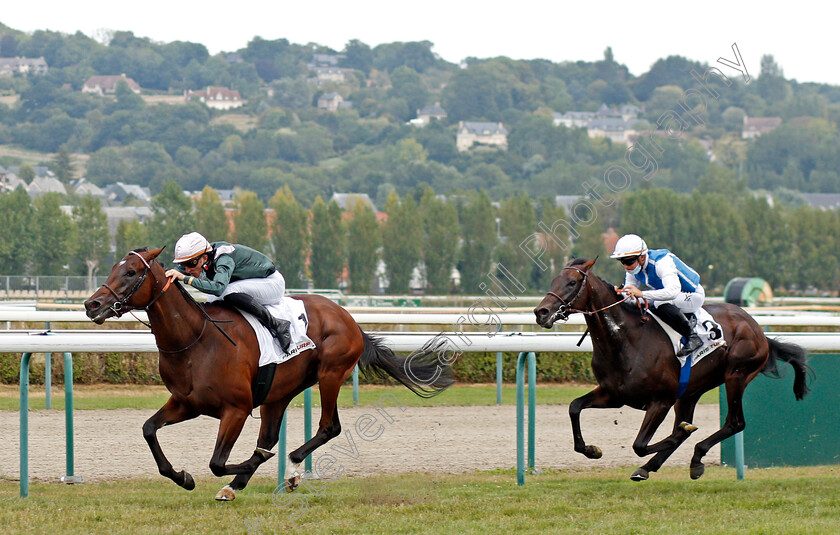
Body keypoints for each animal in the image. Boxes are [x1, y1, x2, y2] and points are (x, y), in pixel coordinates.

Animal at [83, 249, 452, 500]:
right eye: (113, 269)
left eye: (131, 272)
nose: (92, 305)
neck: (195, 340)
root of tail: (348, 317)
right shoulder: (186, 403)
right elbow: (149, 430)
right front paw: (183, 477)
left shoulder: (236, 409)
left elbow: (217, 462)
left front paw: (245, 466)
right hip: (278, 392)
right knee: (271, 436)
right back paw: (241, 484)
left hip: (331, 373)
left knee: (328, 427)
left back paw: (289, 470)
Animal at [536, 260, 812, 482]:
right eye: (553, 280)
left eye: (572, 282)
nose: (541, 312)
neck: (626, 340)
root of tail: (758, 331)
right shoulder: (614, 395)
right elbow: (574, 407)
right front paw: (591, 450)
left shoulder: (661, 400)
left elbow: (640, 444)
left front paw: (679, 434)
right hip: (691, 391)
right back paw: (657, 465)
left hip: (737, 375)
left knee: (735, 422)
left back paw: (693, 455)